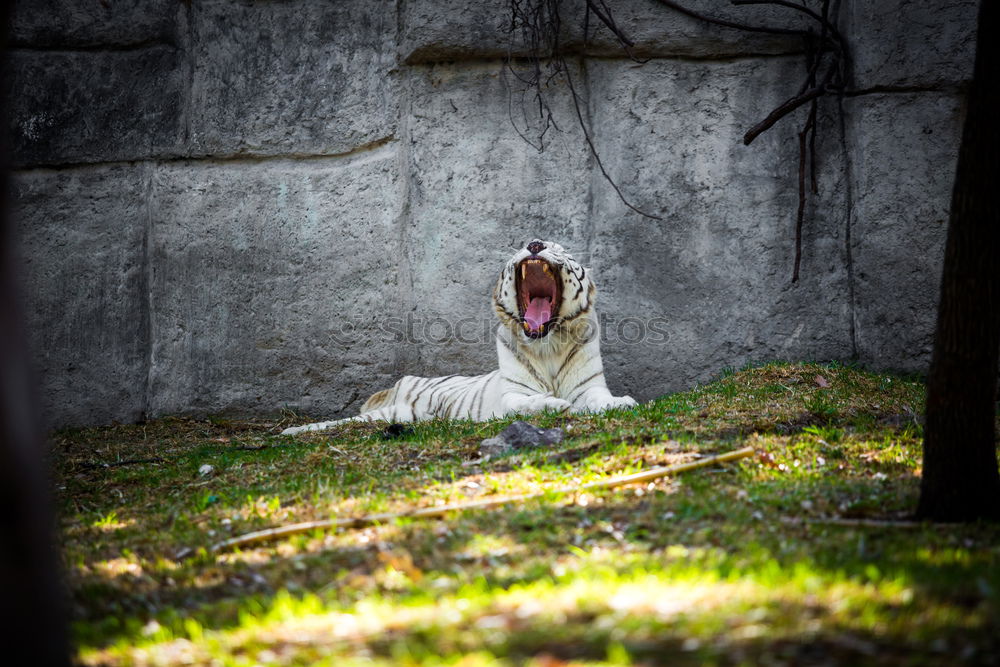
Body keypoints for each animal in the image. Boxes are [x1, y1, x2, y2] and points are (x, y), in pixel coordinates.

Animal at [282, 237, 636, 436]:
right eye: (529, 243)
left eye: (562, 251)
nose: (536, 245)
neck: (547, 345)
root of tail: (401, 381)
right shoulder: (511, 396)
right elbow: (527, 403)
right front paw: (555, 404)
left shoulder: (589, 387)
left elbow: (600, 399)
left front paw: (621, 402)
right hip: (389, 412)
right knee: (342, 422)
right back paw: (291, 430)